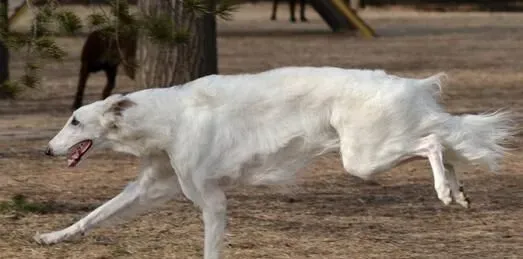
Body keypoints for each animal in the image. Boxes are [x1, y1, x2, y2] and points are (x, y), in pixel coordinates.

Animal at [34, 67, 512, 259]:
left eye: (75, 120)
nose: (47, 151)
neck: (164, 118)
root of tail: (409, 85)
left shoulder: (211, 199)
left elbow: (210, 248)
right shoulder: (152, 188)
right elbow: (92, 217)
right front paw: (50, 237)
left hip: (362, 159)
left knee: (433, 141)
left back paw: (445, 190)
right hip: (370, 152)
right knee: (444, 142)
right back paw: (457, 191)